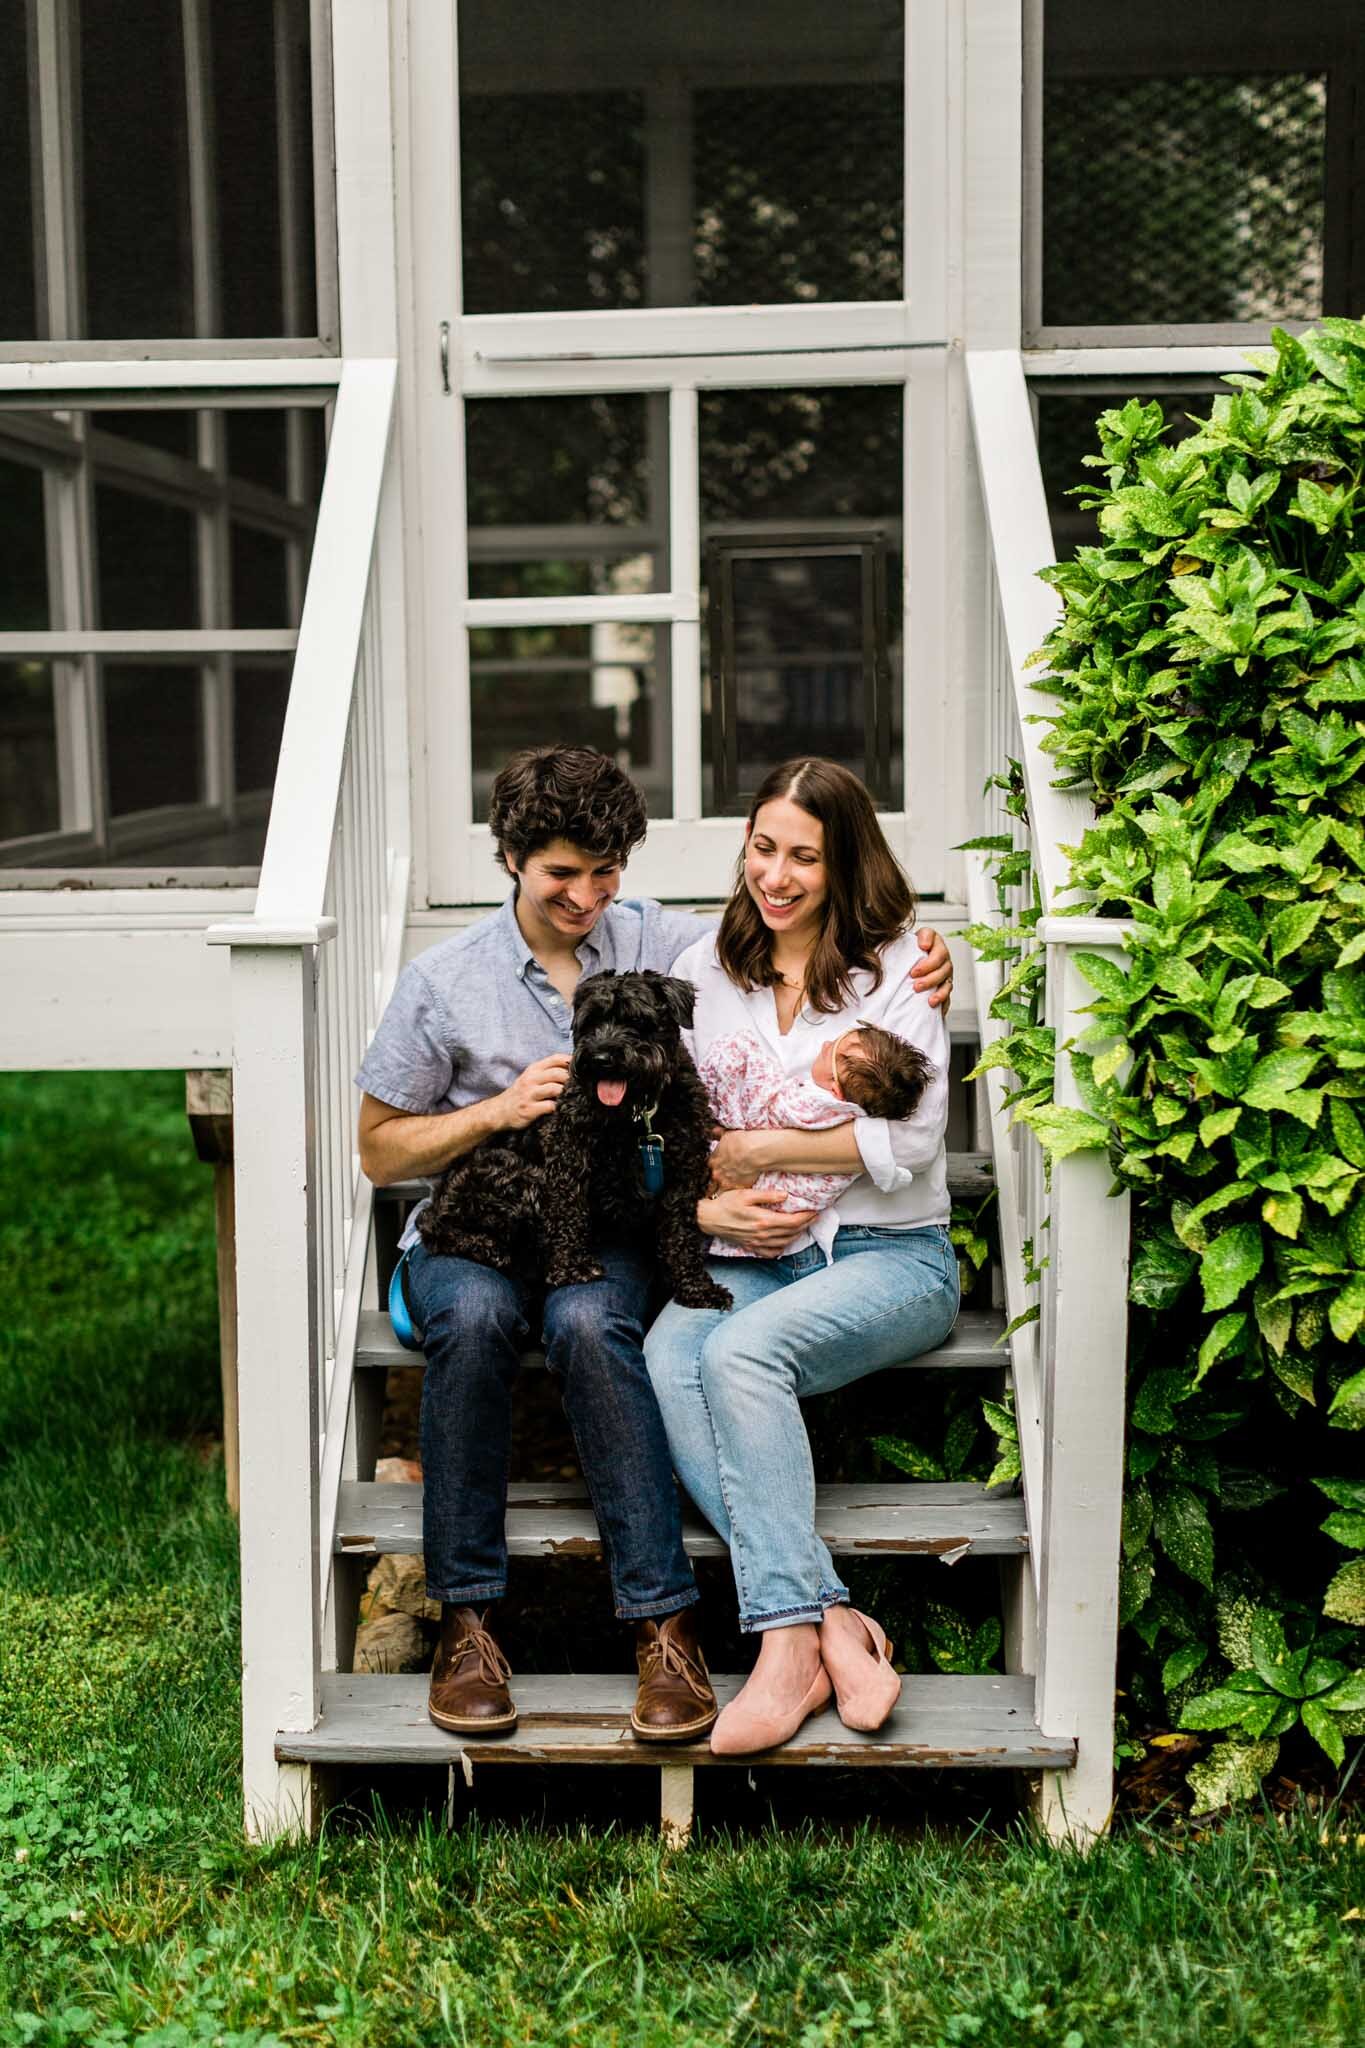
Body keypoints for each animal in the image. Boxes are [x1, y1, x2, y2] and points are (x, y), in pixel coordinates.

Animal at [419, 970, 732, 1310]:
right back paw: (488, 1247)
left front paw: (696, 1287)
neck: (638, 1114)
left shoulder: (684, 1174)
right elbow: (567, 1209)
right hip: (513, 1172)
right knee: (436, 1230)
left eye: (637, 1019)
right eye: (590, 1022)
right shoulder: (566, 1157)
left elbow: (681, 1234)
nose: (601, 1057)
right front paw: (573, 1267)